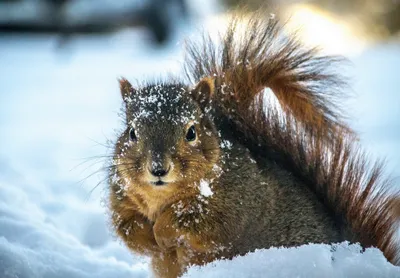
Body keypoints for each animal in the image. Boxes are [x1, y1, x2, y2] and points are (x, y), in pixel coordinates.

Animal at [105, 8, 400, 278]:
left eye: (191, 132)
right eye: (131, 132)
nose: (158, 168)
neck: (161, 197)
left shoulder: (236, 204)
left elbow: (196, 223)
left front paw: (161, 233)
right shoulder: (122, 200)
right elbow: (127, 229)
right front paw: (149, 240)